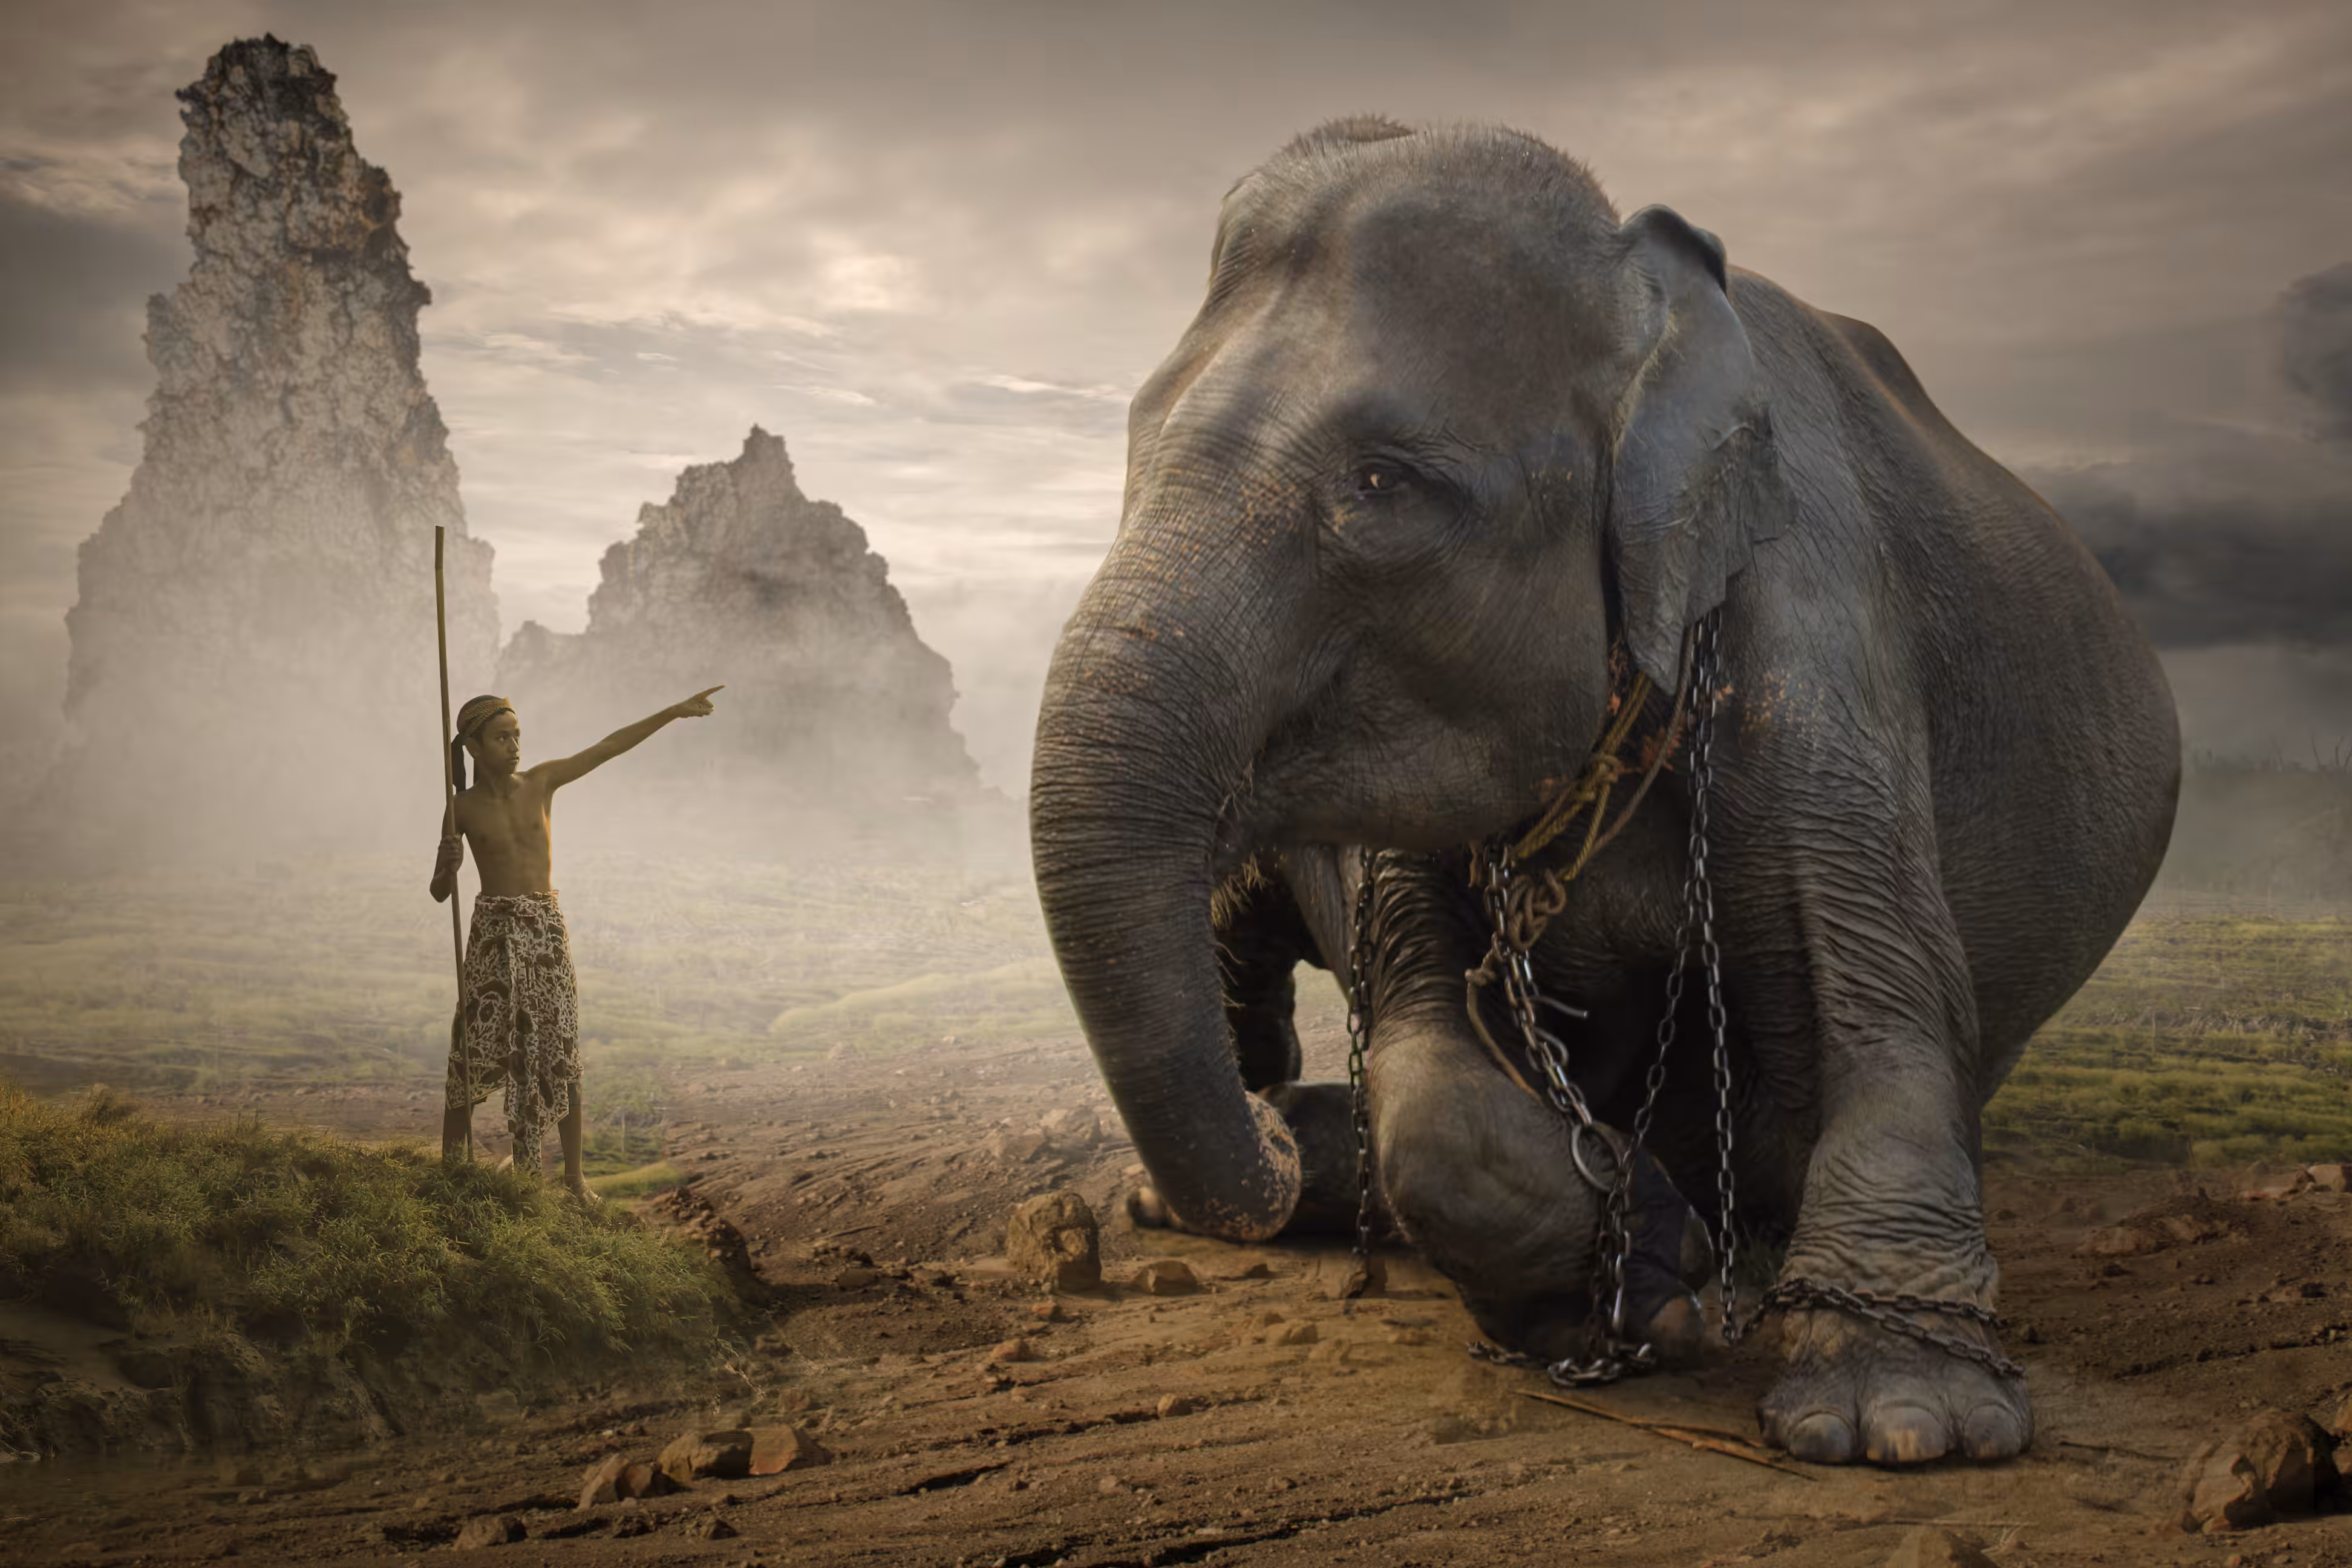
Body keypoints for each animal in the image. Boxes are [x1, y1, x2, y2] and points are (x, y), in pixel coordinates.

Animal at [1027, 116, 2179, 1467]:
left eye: (1380, 483)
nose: (1250, 1147)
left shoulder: (1814, 607)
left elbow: (1881, 977)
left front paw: (1900, 1426)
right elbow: (1422, 1042)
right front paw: (1648, 1275)